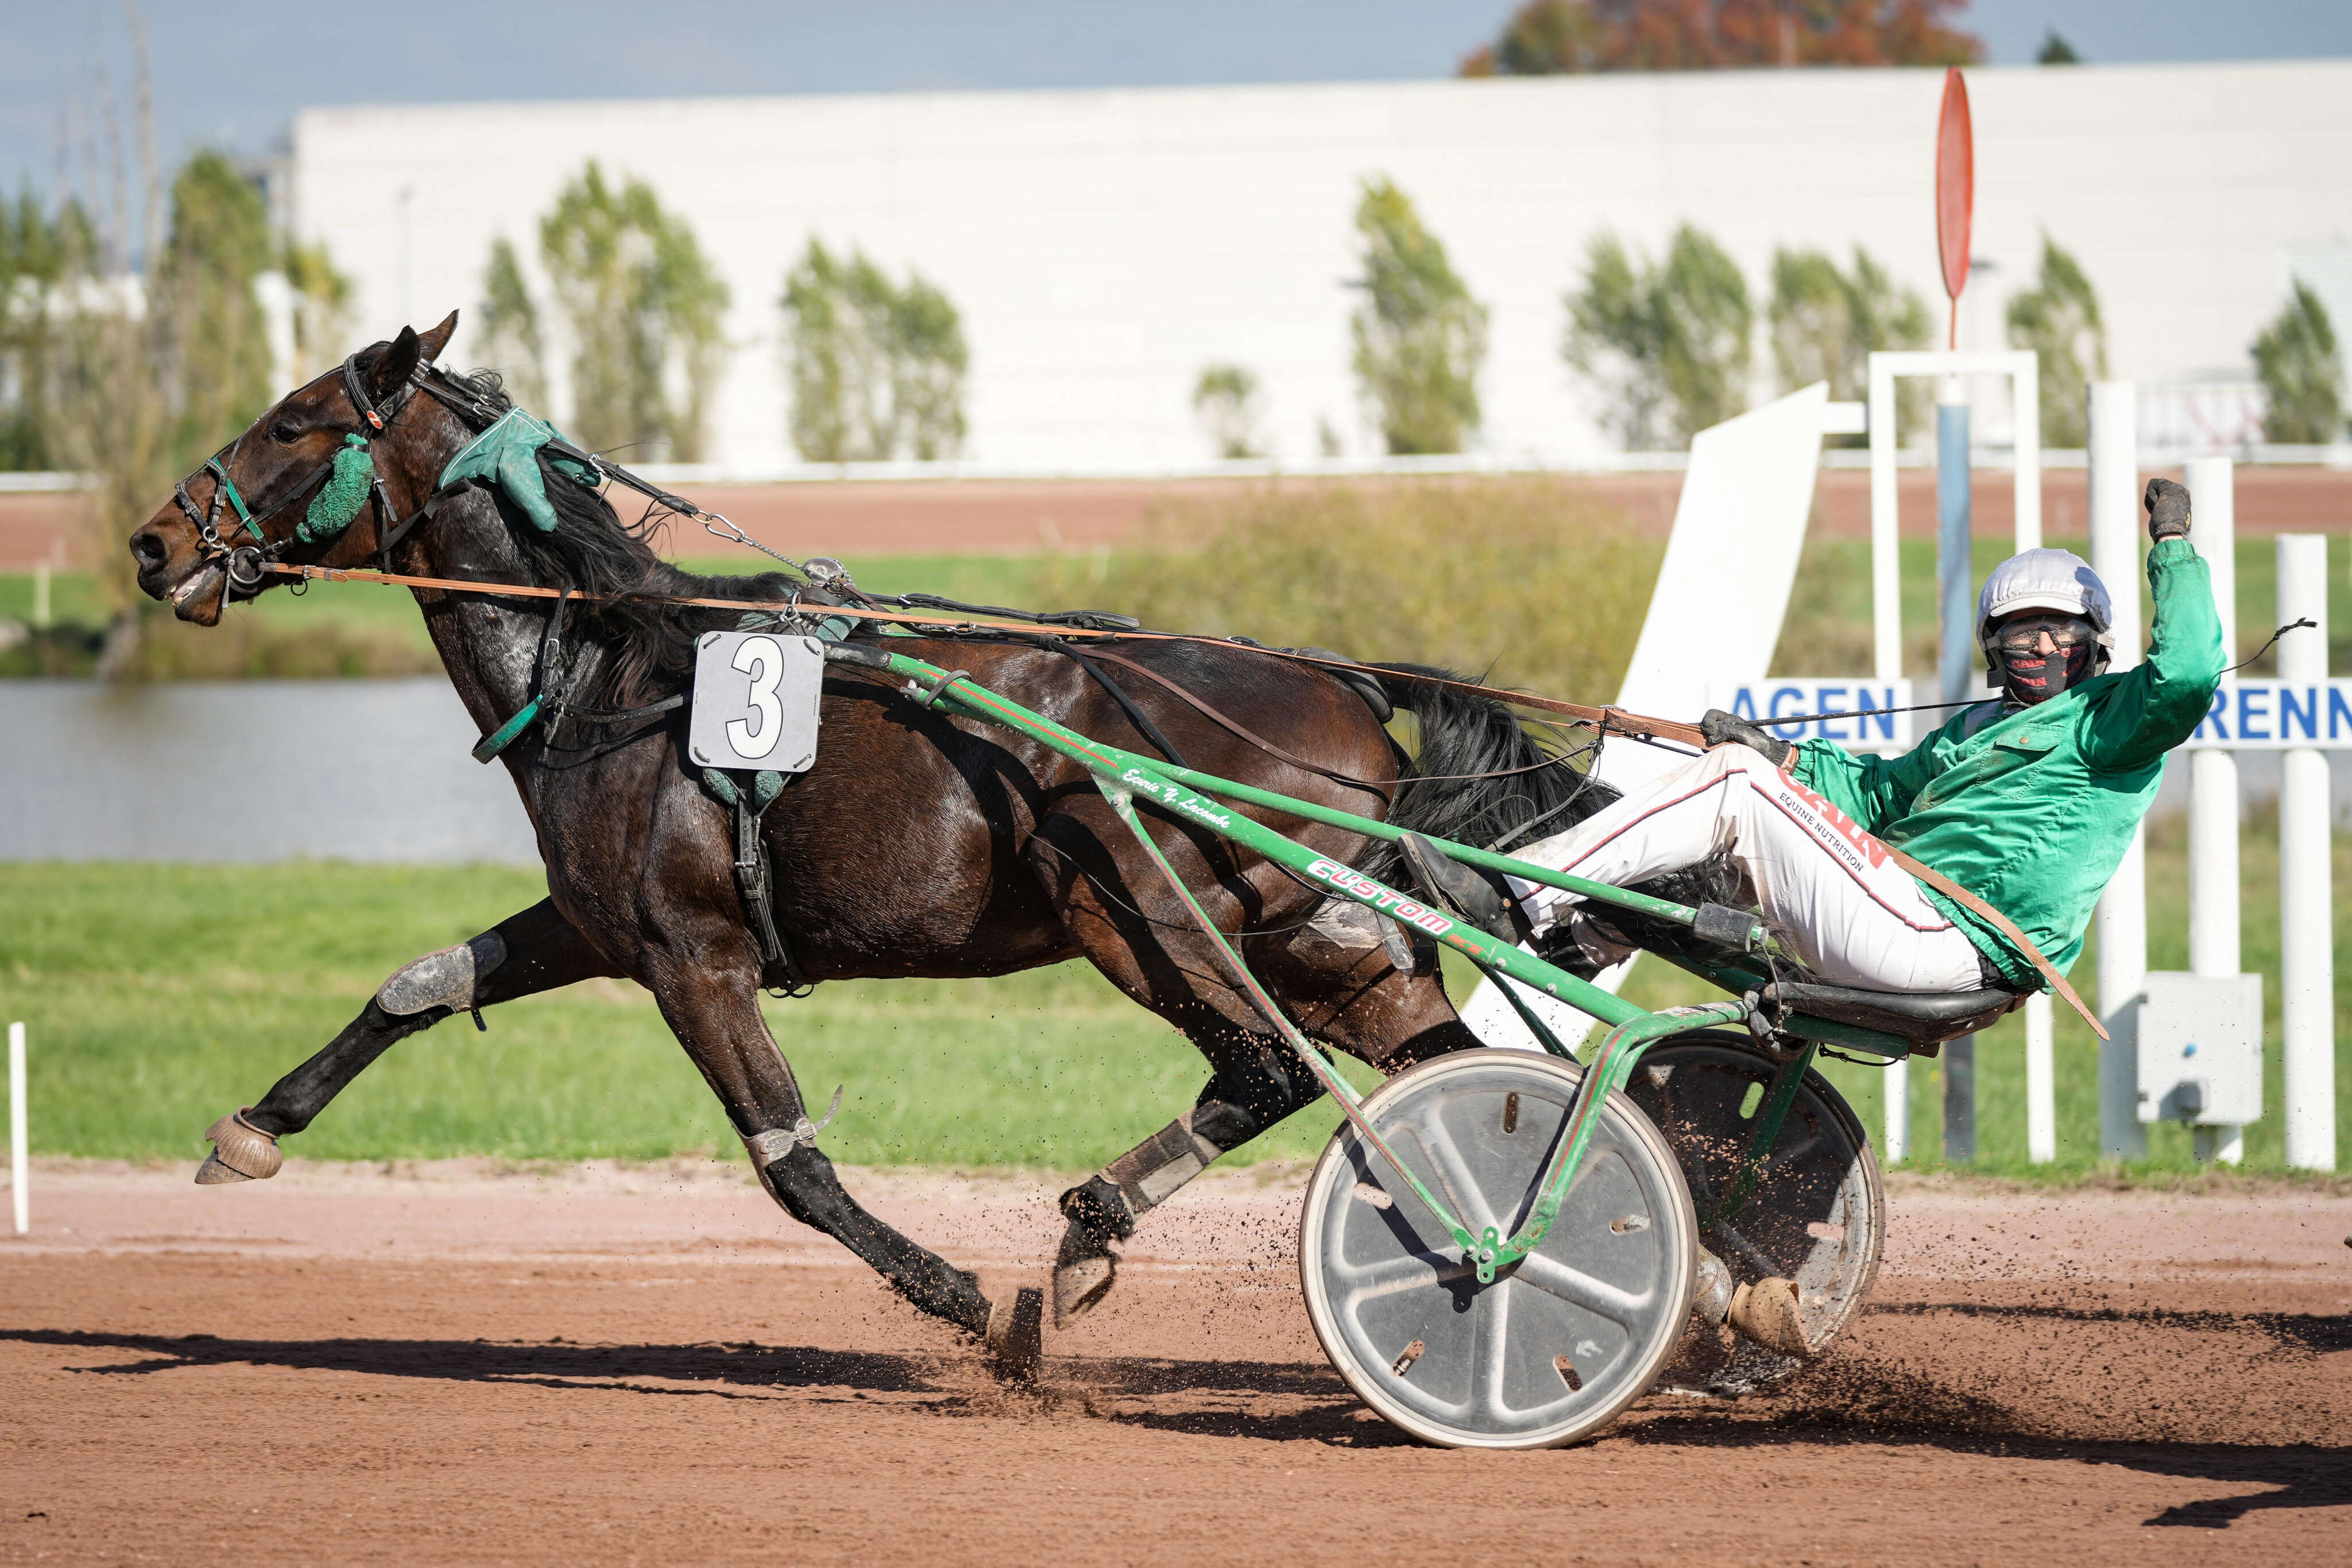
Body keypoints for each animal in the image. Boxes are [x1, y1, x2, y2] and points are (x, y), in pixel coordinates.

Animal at [129, 322, 1703, 1373]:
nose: (151, 544)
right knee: (1437, 1071)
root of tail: (1342, 687)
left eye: (291, 421)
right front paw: (252, 1129)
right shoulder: (600, 922)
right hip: (1332, 938)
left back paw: (1094, 1229)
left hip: (1128, 901)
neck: (609, 671)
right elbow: (419, 982)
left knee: (1262, 1068)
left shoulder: (691, 954)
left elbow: (791, 1166)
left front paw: (960, 1297)